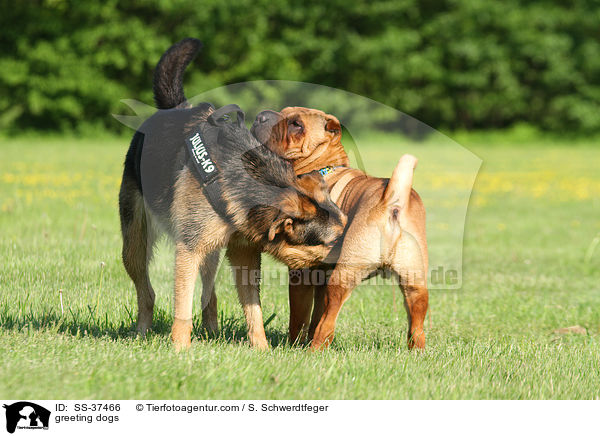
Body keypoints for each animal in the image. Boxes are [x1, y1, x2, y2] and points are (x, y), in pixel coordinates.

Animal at [119, 39, 344, 350]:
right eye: (332, 241)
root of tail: (176, 108)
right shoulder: (188, 250)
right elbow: (182, 308)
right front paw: (180, 349)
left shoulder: (244, 254)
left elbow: (254, 309)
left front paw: (261, 348)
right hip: (134, 245)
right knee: (147, 292)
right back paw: (142, 331)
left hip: (210, 252)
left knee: (209, 294)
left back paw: (212, 331)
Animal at [251, 108, 428, 350]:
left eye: (297, 124)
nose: (260, 115)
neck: (321, 166)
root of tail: (393, 204)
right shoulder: (320, 276)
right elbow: (315, 315)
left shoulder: (301, 274)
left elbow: (299, 317)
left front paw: (294, 345)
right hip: (414, 282)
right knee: (416, 323)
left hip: (343, 277)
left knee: (328, 320)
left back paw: (314, 350)